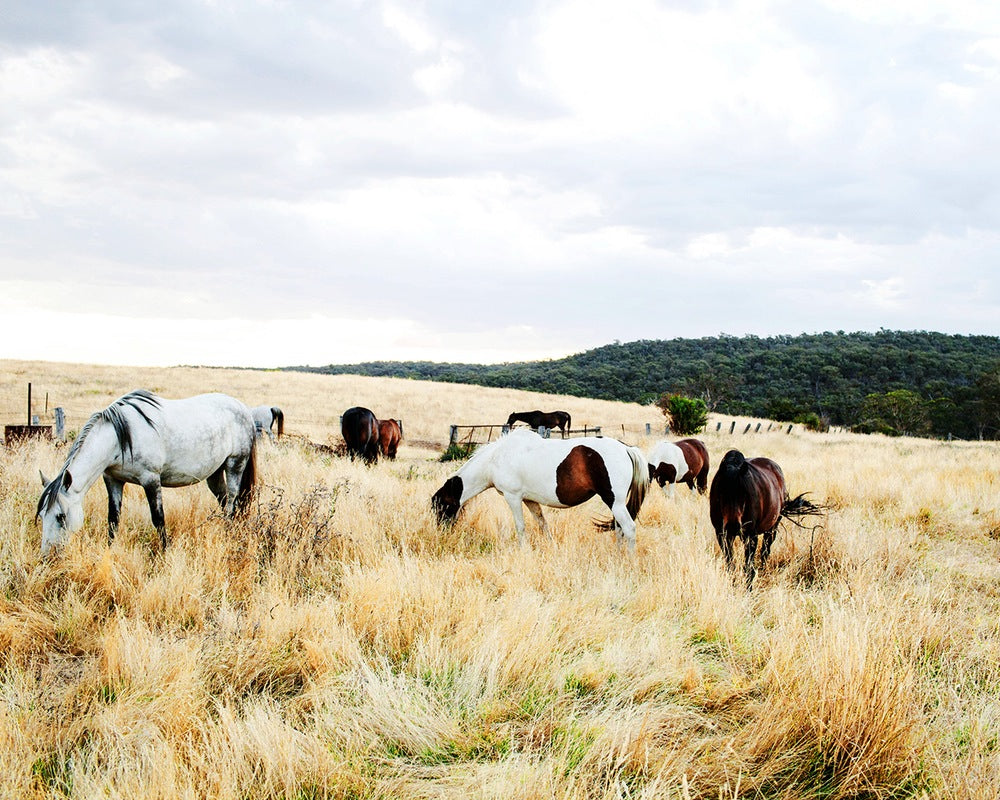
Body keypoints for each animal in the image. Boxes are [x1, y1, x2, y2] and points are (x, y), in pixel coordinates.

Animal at [37, 390, 258, 556]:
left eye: (61, 517)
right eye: (41, 515)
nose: (47, 555)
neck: (120, 438)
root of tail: (244, 409)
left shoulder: (150, 479)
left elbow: (158, 519)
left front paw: (165, 553)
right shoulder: (113, 480)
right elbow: (113, 519)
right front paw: (109, 550)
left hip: (235, 464)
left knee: (231, 502)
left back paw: (228, 534)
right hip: (214, 473)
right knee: (224, 500)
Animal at [430, 428, 648, 552]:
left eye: (444, 505)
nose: (441, 533)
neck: (496, 458)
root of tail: (626, 448)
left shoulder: (513, 497)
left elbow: (521, 527)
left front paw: (524, 551)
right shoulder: (530, 500)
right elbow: (543, 524)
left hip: (614, 501)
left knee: (629, 528)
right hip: (616, 504)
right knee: (619, 528)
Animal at [716, 450, 824, 588]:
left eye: (744, 494)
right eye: (721, 492)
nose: (733, 526)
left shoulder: (750, 536)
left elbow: (748, 567)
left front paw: (748, 589)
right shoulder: (722, 535)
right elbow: (730, 565)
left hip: (772, 529)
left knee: (765, 551)